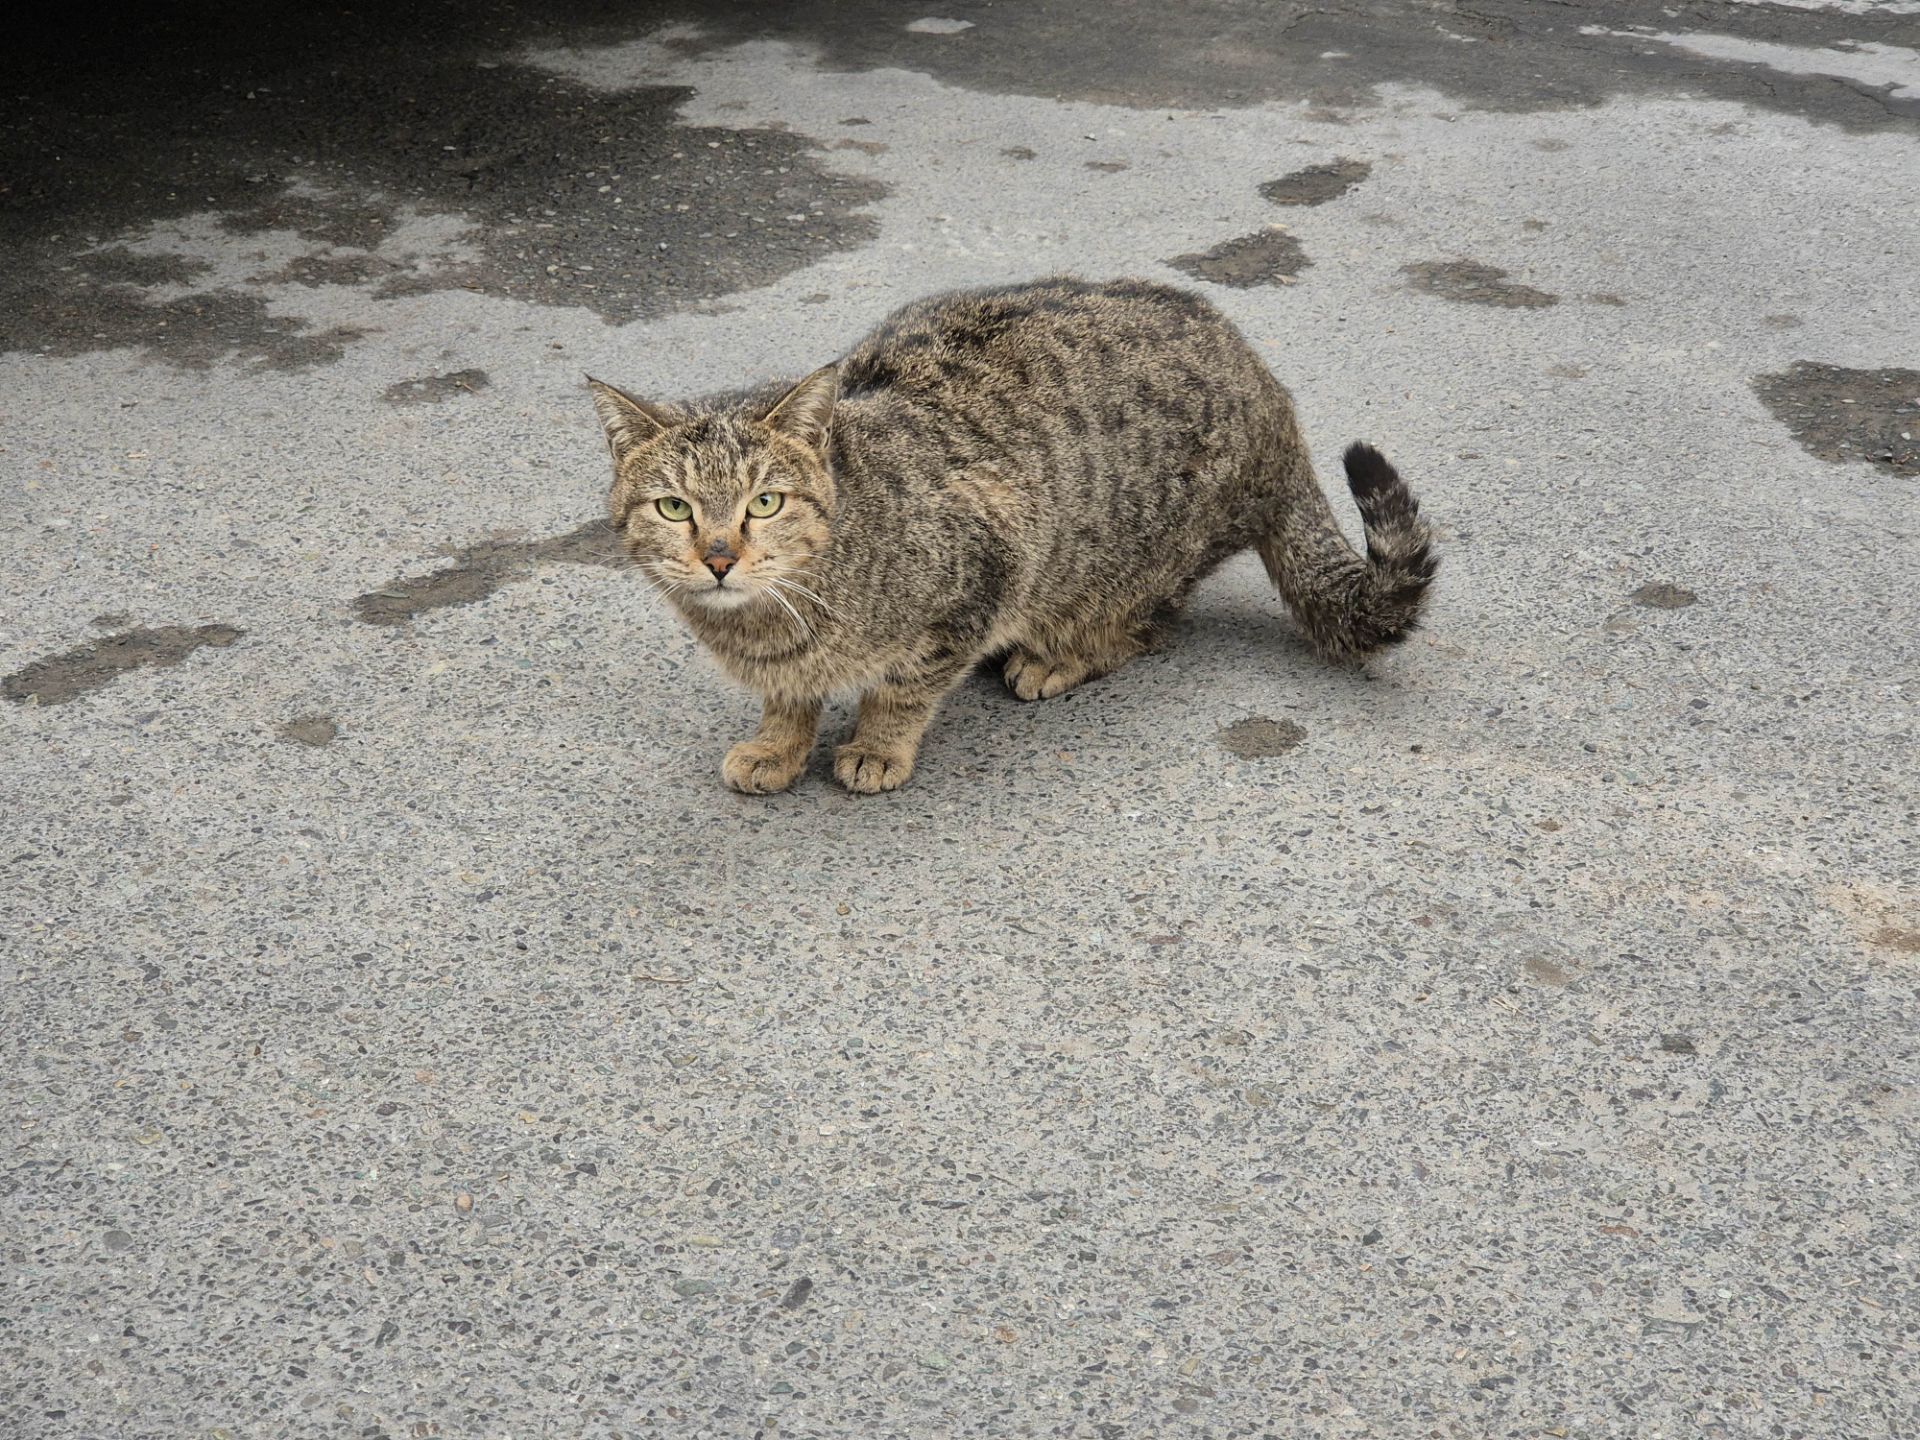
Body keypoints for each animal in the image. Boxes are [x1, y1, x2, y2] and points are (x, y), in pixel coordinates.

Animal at [591, 276, 1436, 794]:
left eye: (764, 502)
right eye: (675, 508)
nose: (719, 557)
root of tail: (1270, 391)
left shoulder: (989, 565)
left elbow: (904, 687)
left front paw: (876, 745)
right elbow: (788, 697)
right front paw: (778, 744)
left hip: (1122, 554)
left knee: (1150, 624)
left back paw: (1057, 657)